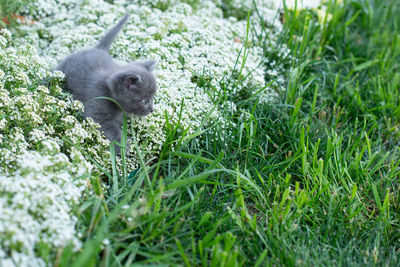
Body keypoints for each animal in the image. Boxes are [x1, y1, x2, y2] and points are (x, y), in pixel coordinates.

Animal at [57, 14, 157, 155]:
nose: (152, 110)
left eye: (153, 98)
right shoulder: (97, 108)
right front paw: (122, 147)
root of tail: (97, 49)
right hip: (62, 68)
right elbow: (110, 129)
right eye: (144, 101)